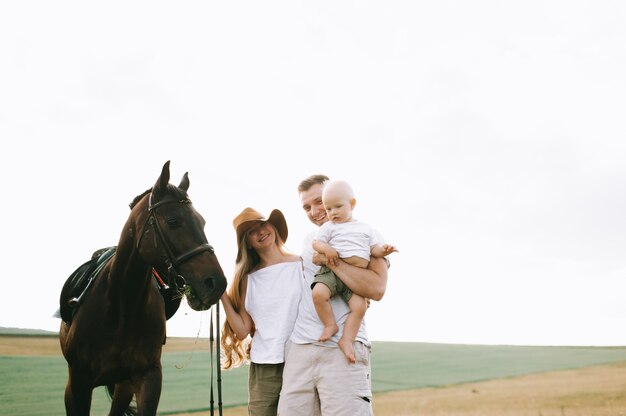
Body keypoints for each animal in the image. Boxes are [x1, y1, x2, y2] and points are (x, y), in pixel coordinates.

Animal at [59, 162, 227, 416]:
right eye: (173, 221)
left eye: (202, 222)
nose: (216, 283)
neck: (121, 306)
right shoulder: (78, 384)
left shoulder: (147, 377)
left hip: (123, 387)